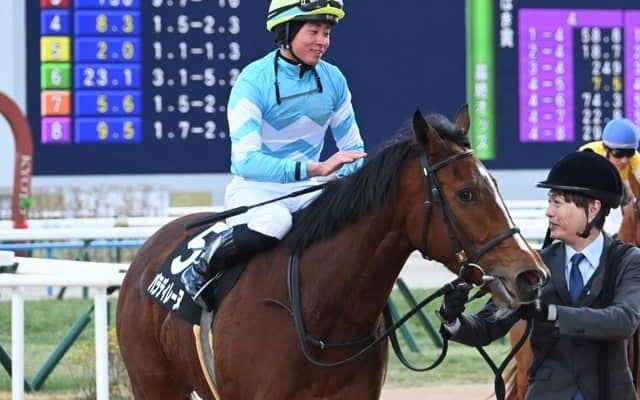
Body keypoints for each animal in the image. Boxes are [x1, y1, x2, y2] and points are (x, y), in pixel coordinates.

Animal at [116, 106, 549, 400]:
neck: (321, 310)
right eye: (466, 193)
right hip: (153, 383)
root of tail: (151, 246)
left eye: (494, 185)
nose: (531, 274)